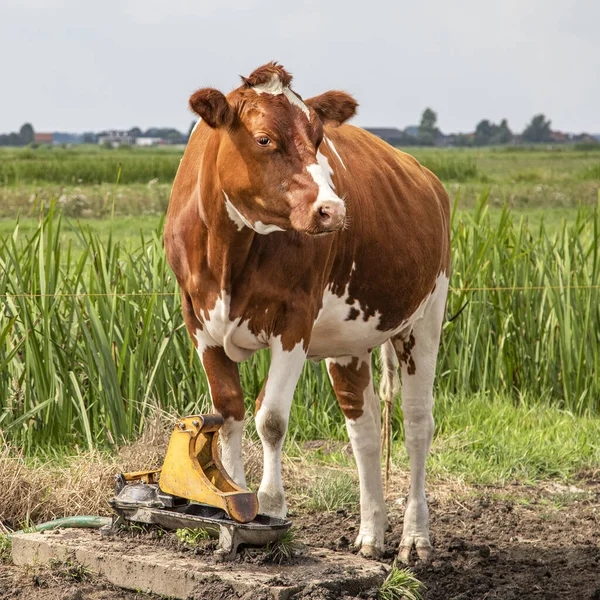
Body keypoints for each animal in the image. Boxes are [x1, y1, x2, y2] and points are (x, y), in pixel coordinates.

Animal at [164, 62, 450, 564]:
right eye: (263, 139)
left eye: (319, 138)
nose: (331, 209)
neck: (227, 252)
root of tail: (429, 180)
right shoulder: (198, 323)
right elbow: (229, 413)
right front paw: (231, 500)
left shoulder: (294, 319)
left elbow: (271, 418)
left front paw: (271, 506)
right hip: (350, 342)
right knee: (364, 428)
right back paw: (371, 535)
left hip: (426, 317)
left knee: (417, 423)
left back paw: (414, 538)